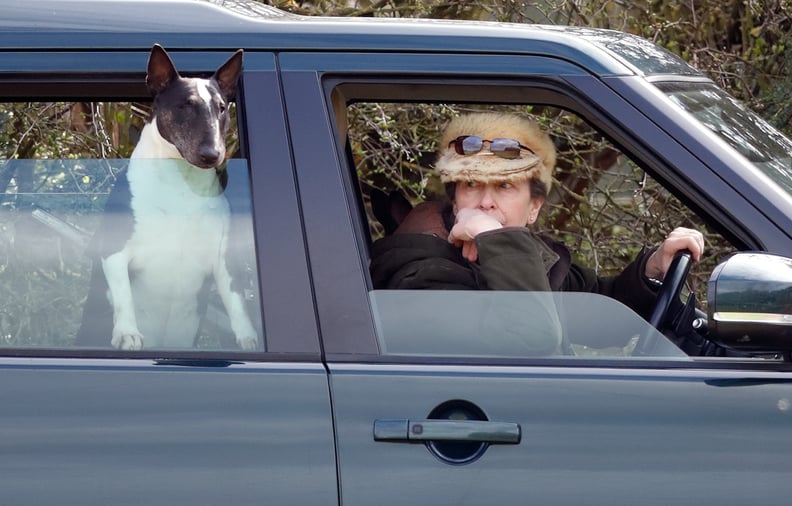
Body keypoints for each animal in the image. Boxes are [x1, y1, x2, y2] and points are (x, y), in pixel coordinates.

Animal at [74, 44, 256, 348]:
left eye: (221, 108)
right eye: (185, 105)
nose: (212, 155)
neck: (182, 183)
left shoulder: (223, 258)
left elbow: (237, 300)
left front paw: (249, 339)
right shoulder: (114, 250)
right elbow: (123, 296)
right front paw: (127, 333)